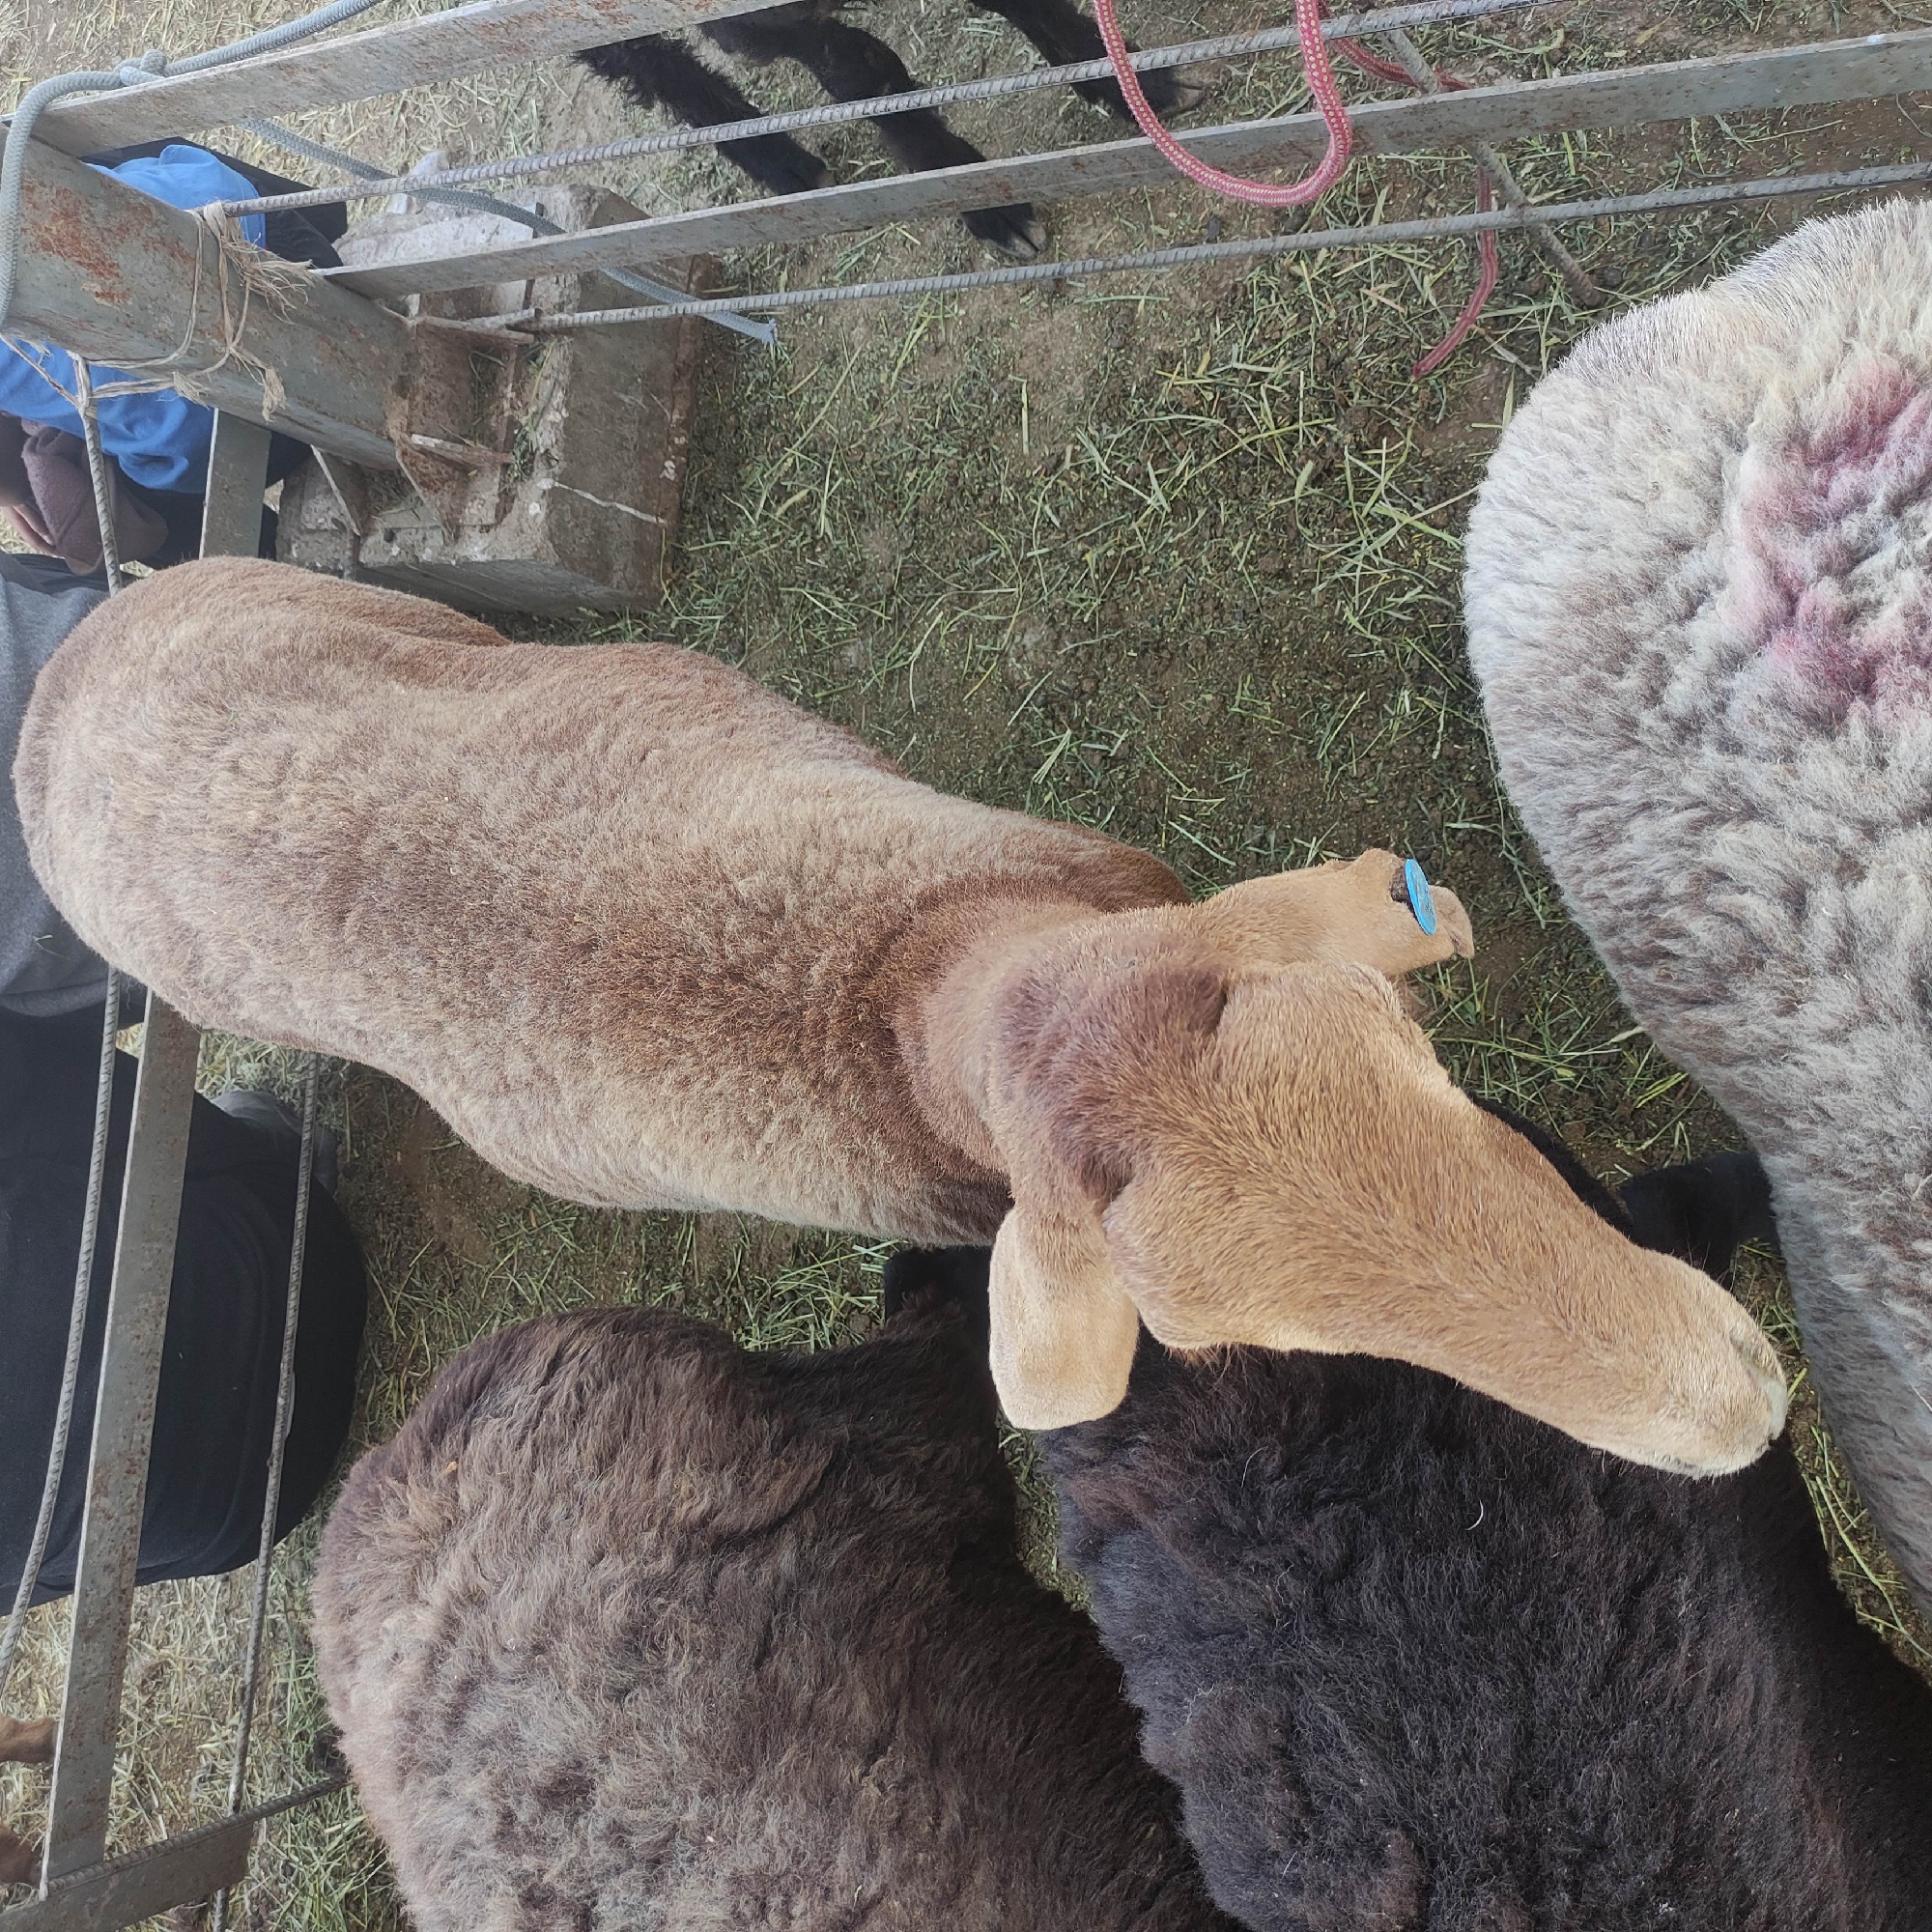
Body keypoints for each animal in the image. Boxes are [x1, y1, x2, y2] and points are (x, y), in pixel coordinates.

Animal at [578, 2, 1202, 263]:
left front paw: (1125, 78)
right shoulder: (762, 21)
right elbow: (858, 68)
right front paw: (980, 200)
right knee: (641, 59)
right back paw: (788, 168)